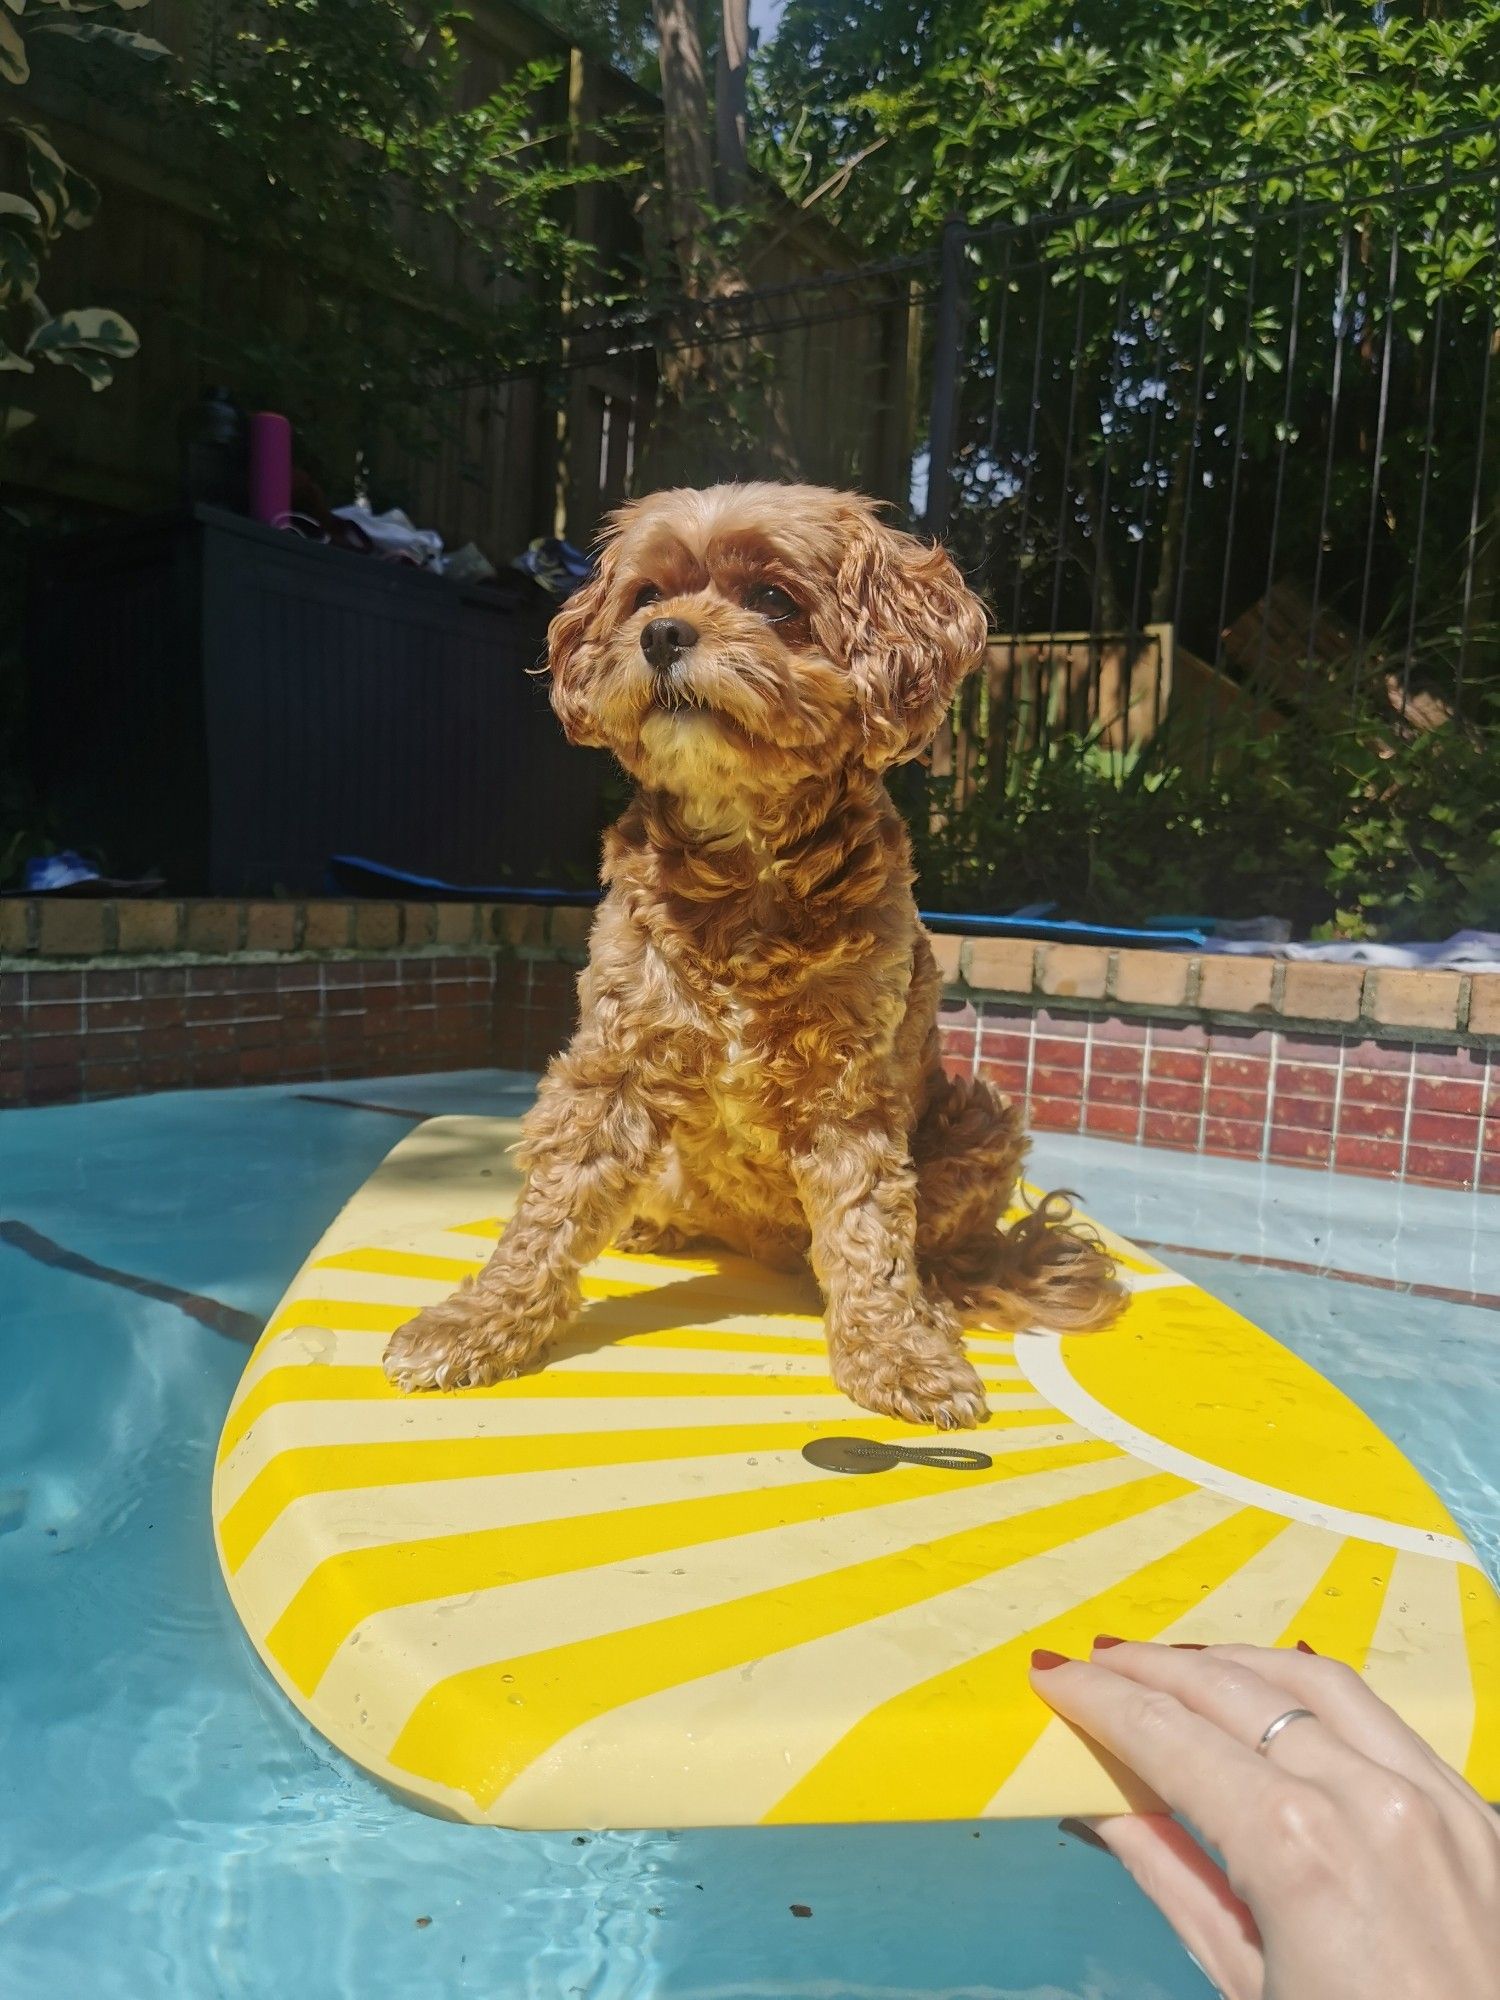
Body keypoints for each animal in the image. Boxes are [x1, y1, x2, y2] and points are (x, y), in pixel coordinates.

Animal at [382, 482, 1120, 1424]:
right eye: (647, 595)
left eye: (773, 599)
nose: (662, 635)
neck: (746, 864)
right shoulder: (614, 1064)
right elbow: (550, 1209)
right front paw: (481, 1322)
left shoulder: (848, 1092)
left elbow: (870, 1232)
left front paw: (899, 1352)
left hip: (981, 1114)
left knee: (939, 1244)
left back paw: (948, 1288)